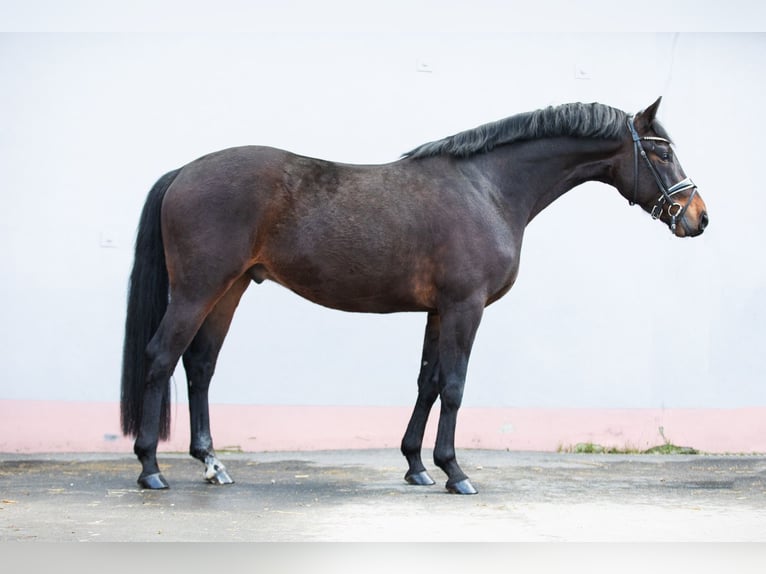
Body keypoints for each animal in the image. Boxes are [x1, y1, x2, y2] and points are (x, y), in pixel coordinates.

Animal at [121, 98, 712, 496]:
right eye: (660, 151)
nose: (699, 216)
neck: (488, 189)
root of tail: (184, 172)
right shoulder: (464, 307)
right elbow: (453, 385)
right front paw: (455, 471)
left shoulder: (438, 311)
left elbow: (428, 382)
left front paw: (416, 466)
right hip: (198, 289)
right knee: (161, 357)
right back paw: (150, 468)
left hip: (231, 288)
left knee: (199, 365)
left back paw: (211, 463)